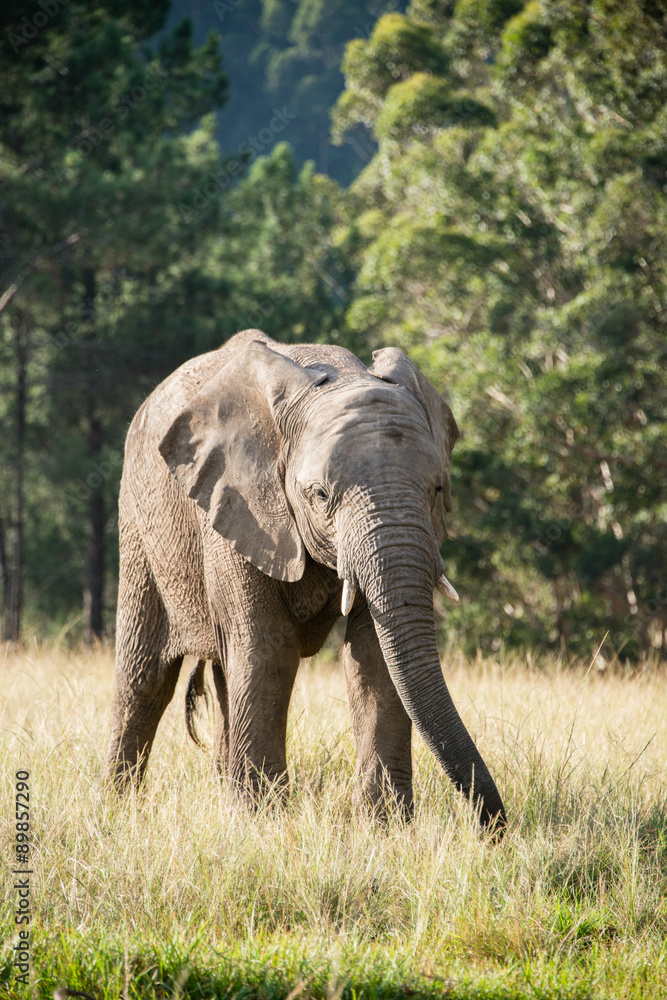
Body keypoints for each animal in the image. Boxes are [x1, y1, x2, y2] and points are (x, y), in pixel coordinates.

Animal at [106, 329, 506, 831]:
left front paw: (386, 826)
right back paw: (115, 806)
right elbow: (268, 647)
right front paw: (262, 823)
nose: (493, 826)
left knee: (221, 674)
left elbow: (375, 656)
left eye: (438, 489)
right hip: (139, 521)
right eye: (319, 495)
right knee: (145, 677)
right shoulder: (238, 505)